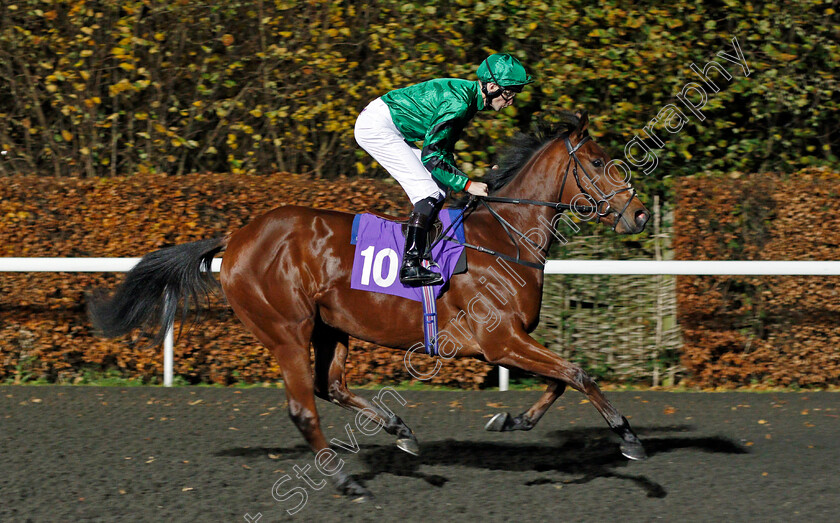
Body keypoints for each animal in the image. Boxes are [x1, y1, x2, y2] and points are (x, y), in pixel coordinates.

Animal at [90, 111, 648, 500]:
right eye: (599, 162)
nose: (640, 214)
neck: (503, 239)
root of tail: (238, 237)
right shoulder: (499, 341)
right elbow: (577, 373)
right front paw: (629, 439)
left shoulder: (511, 340)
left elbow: (562, 379)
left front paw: (511, 422)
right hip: (286, 330)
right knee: (304, 407)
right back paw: (346, 482)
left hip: (331, 327)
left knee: (331, 385)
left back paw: (400, 431)